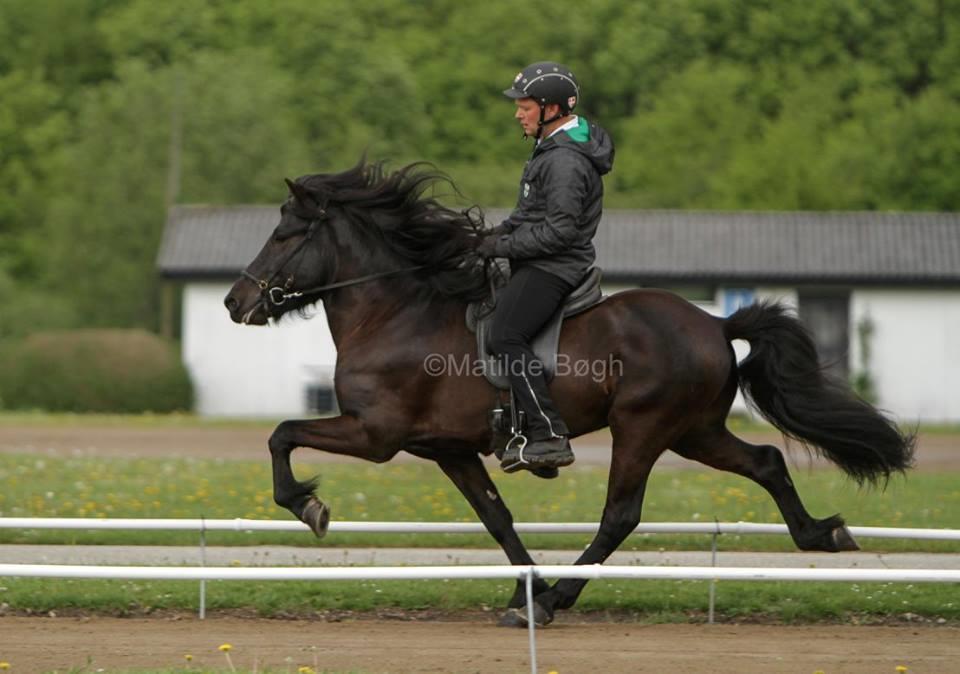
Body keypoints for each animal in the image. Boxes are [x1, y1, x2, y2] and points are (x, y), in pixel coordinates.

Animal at [225, 160, 916, 624]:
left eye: (285, 234)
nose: (235, 302)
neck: (394, 312)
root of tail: (714, 323)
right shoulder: (448, 449)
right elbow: (496, 518)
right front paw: (521, 587)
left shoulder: (375, 435)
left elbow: (281, 435)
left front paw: (308, 506)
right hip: (696, 432)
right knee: (768, 461)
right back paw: (822, 534)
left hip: (644, 428)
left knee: (621, 515)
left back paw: (560, 596)